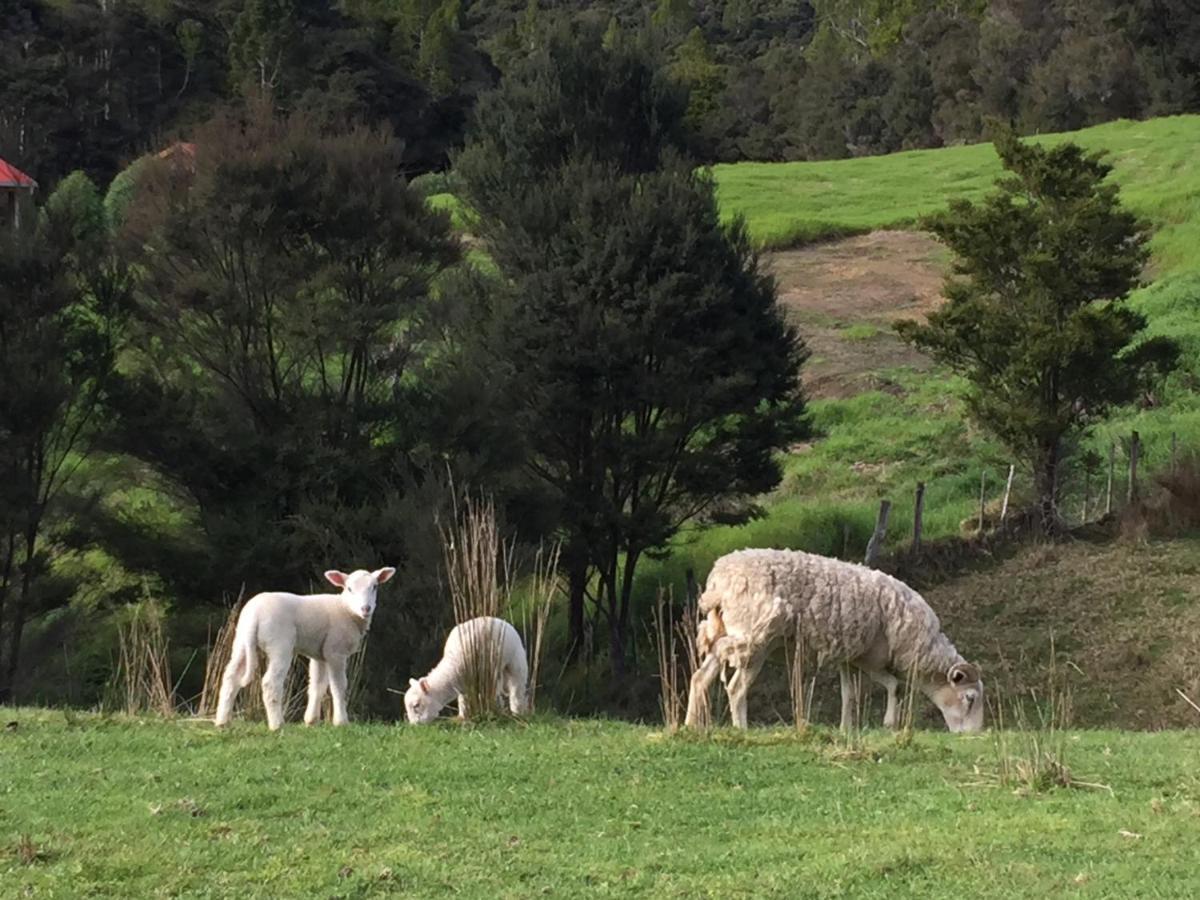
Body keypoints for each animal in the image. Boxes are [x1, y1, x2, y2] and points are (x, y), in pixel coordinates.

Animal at [213, 571, 396, 734]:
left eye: (374, 587)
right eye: (349, 588)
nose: (366, 608)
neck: (346, 609)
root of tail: (254, 615)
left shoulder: (320, 654)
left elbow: (317, 685)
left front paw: (311, 721)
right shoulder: (335, 651)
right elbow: (338, 686)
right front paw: (341, 722)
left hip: (241, 641)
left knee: (230, 676)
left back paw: (222, 722)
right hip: (280, 644)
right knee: (270, 682)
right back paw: (277, 725)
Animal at [686, 549, 984, 734]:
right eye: (969, 698)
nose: (975, 735)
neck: (918, 647)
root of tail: (718, 582)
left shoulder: (851, 655)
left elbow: (849, 694)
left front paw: (846, 728)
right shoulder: (869, 657)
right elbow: (895, 685)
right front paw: (889, 722)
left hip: (724, 632)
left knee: (700, 677)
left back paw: (689, 726)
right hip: (756, 636)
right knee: (736, 687)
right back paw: (742, 729)